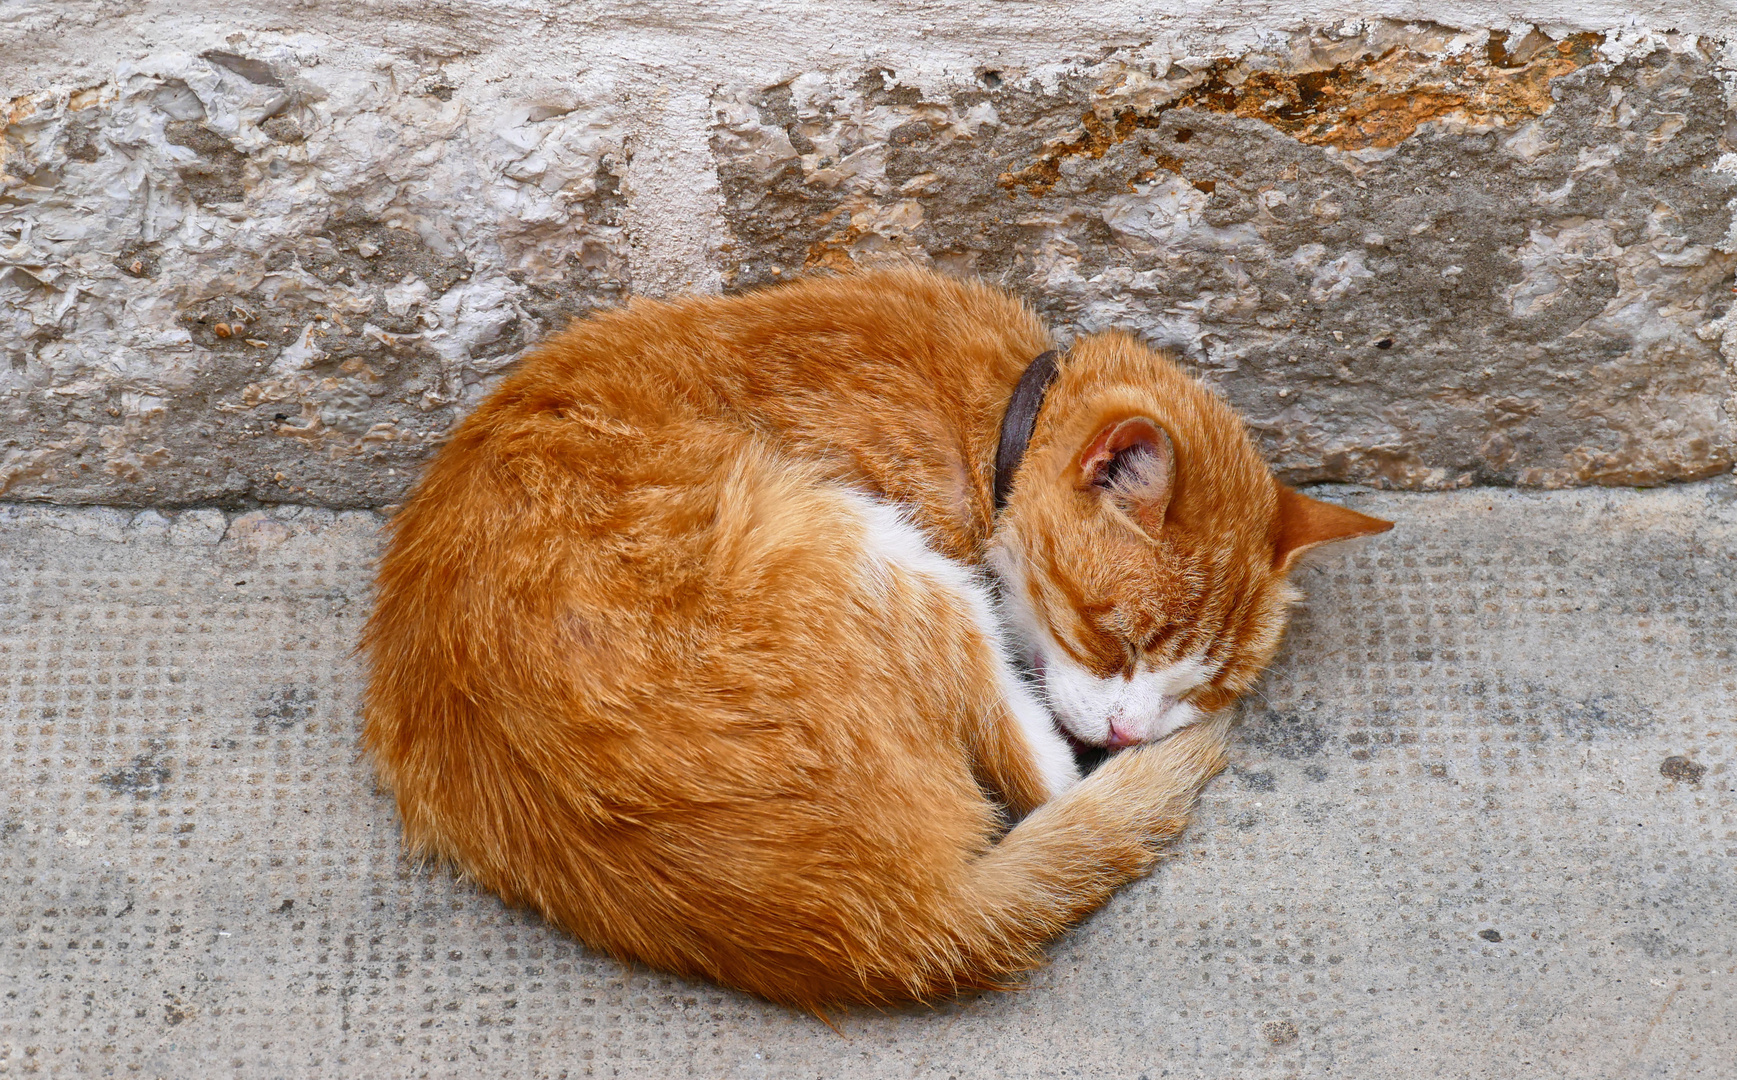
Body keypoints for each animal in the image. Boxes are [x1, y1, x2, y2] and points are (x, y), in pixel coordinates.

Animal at [359, 267, 1389, 1014]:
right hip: (878, 552)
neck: (989, 409)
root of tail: (886, 923)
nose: (1134, 732)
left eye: (1197, 686)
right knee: (1039, 779)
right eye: (1115, 640)